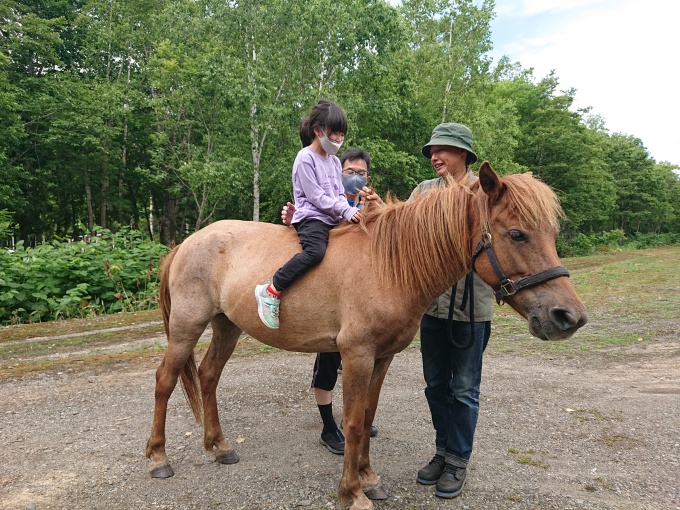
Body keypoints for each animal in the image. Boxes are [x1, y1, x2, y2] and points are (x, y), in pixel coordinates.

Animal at [146, 163, 588, 510]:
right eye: (517, 234)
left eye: (551, 233)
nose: (569, 317)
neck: (388, 265)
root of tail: (187, 243)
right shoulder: (356, 355)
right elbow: (355, 422)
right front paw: (352, 493)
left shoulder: (382, 357)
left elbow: (370, 414)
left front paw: (370, 479)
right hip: (187, 326)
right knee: (166, 380)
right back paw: (158, 458)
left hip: (227, 325)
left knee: (208, 376)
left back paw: (219, 446)